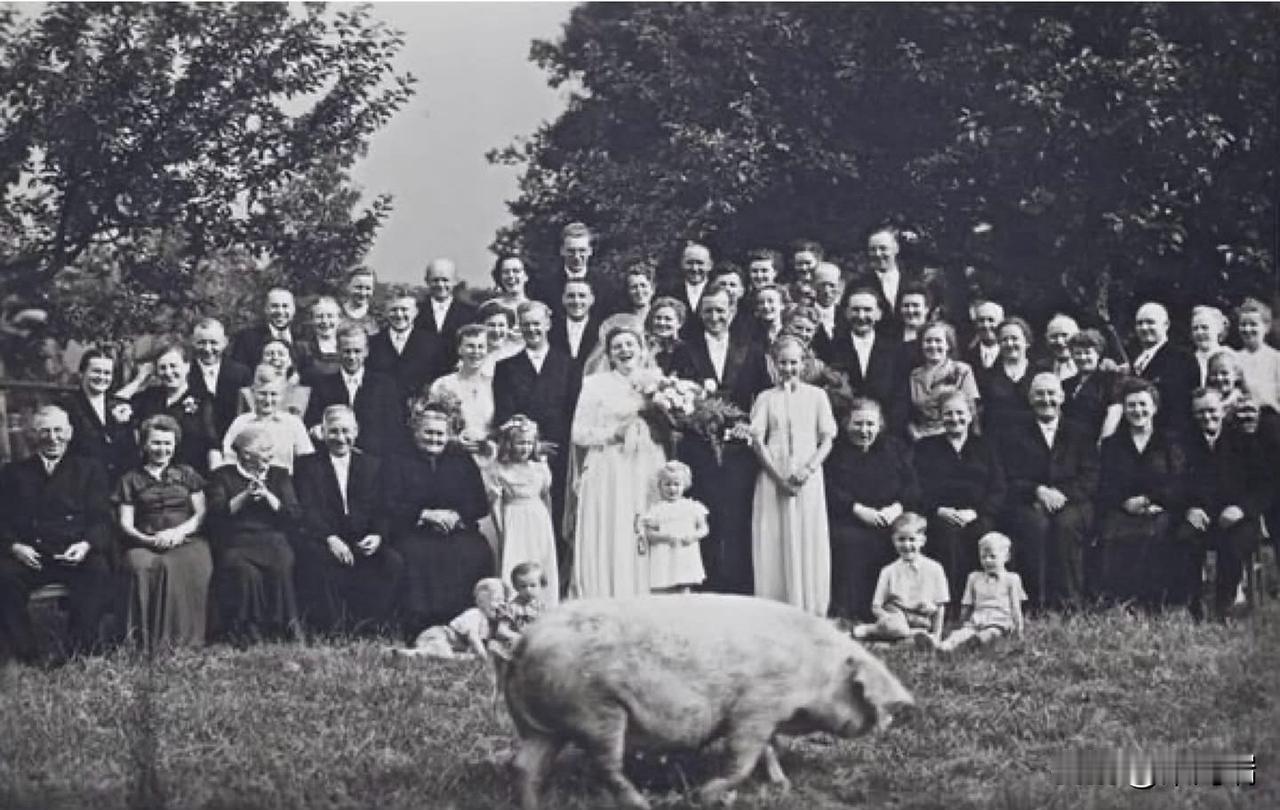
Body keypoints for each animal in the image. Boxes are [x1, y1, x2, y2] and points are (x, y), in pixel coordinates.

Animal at [503, 594, 914, 809]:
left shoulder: (768, 715)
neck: (813, 670)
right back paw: (643, 804)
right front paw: (709, 795)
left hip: (547, 727)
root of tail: (524, 641)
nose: (892, 720)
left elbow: (770, 748)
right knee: (607, 766)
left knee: (523, 766)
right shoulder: (754, 708)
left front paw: (782, 785)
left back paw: (534, 805)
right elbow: (742, 757)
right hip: (598, 710)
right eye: (861, 693)